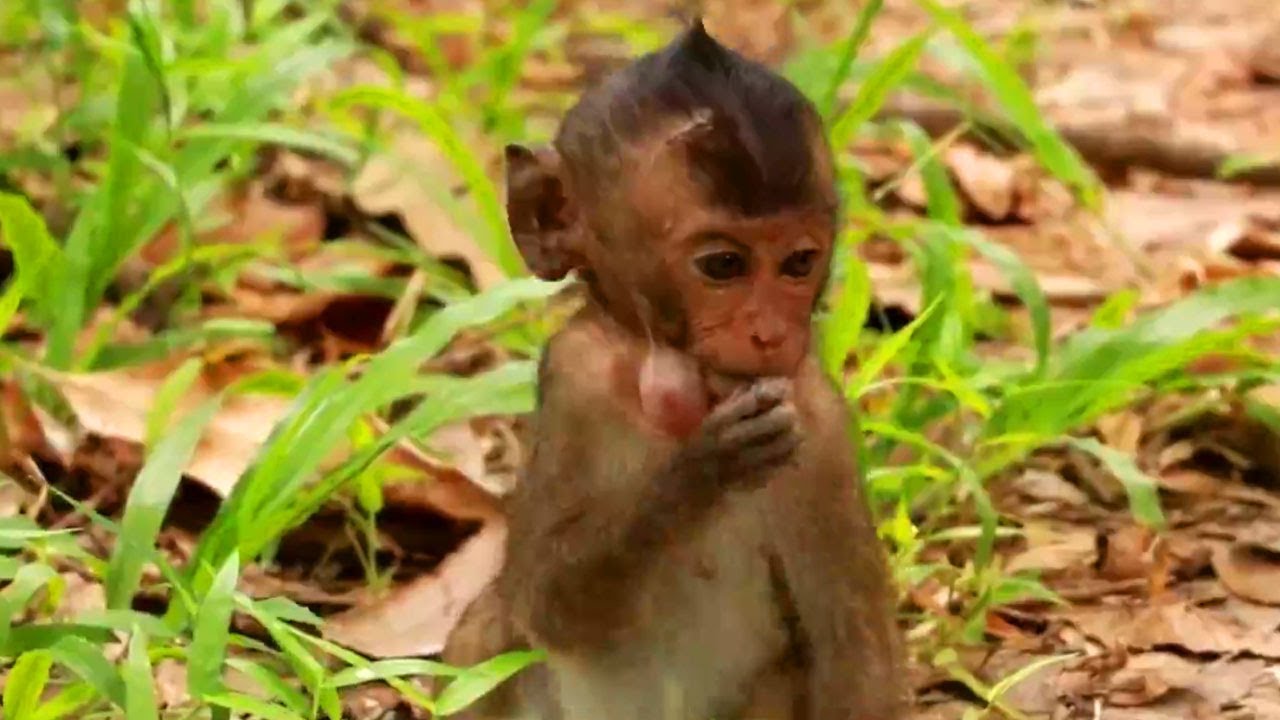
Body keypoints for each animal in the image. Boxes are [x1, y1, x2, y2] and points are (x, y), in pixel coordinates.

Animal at [439, 20, 906, 720]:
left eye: (798, 263)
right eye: (722, 266)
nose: (771, 332)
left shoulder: (819, 427)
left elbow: (856, 652)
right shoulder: (575, 379)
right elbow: (544, 599)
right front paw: (704, 468)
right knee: (484, 633)